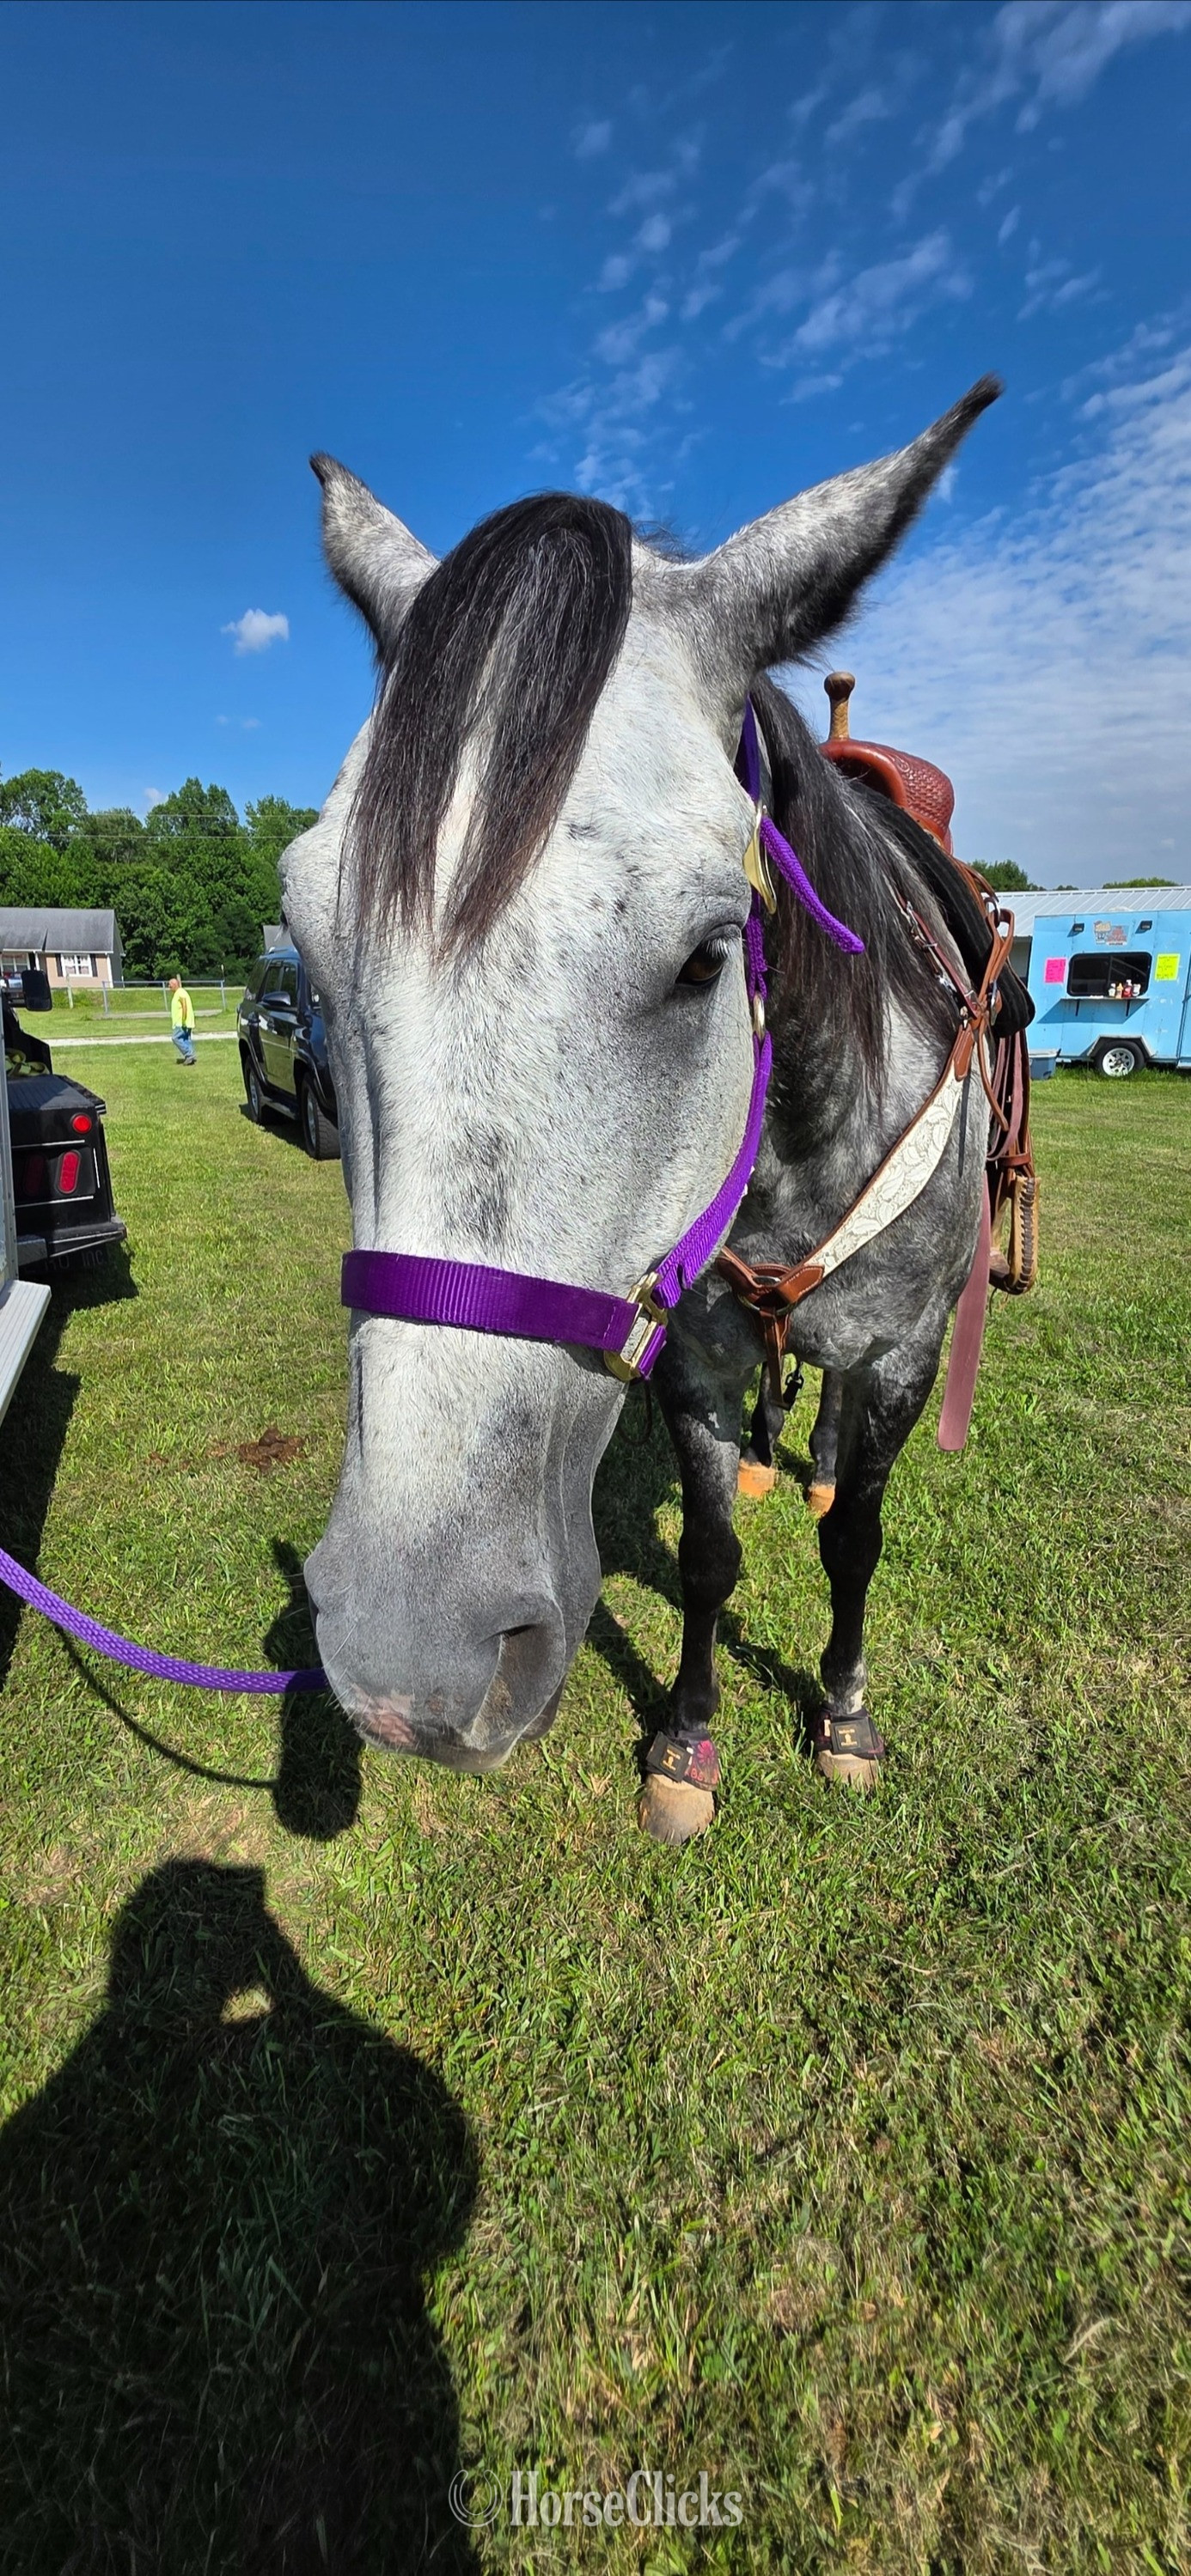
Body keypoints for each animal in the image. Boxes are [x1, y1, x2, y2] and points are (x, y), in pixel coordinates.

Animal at [283, 375, 1007, 1844]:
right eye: (310, 947)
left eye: (704, 957)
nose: (407, 1654)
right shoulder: (693, 1352)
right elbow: (712, 1549)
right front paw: (686, 1737)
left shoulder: (903, 1355)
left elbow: (855, 1542)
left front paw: (841, 1713)